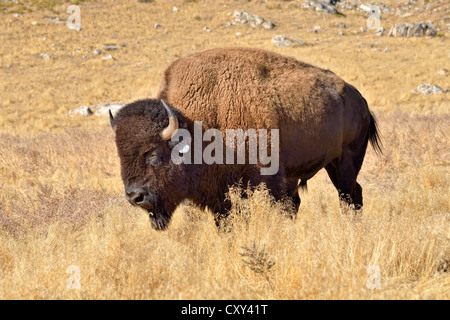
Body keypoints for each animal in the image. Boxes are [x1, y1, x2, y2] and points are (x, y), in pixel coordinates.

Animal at [110, 47, 382, 230]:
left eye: (154, 153)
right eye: (120, 156)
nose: (134, 197)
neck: (197, 124)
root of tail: (359, 99)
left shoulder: (262, 180)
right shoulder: (221, 194)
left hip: (347, 160)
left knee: (348, 196)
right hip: (332, 165)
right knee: (352, 193)